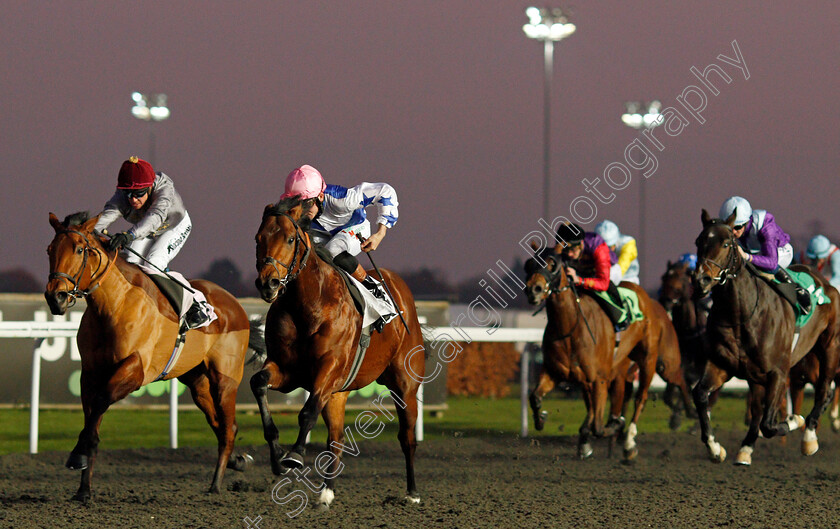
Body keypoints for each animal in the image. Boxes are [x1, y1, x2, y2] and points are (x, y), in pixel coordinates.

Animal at [41, 209, 260, 500]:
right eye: (50, 249)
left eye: (78, 249)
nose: (56, 297)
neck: (114, 305)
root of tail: (236, 305)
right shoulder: (90, 374)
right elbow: (92, 420)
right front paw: (83, 489)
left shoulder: (136, 370)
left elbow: (99, 405)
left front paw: (77, 457)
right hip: (197, 381)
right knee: (218, 421)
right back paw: (237, 460)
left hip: (225, 378)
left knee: (227, 426)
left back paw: (216, 484)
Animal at [248, 197, 420, 508]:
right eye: (258, 239)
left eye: (290, 239)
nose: (268, 284)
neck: (309, 304)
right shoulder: (287, 370)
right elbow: (258, 383)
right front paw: (277, 457)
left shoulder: (328, 369)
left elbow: (307, 411)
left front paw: (294, 455)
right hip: (340, 393)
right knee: (336, 439)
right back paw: (326, 492)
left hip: (405, 383)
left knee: (407, 436)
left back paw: (412, 492)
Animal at [520, 250, 672, 460]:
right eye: (529, 264)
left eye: (552, 264)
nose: (534, 289)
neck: (570, 327)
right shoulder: (556, 372)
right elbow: (535, 397)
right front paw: (541, 419)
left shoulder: (599, 378)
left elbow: (598, 427)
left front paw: (615, 425)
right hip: (614, 370)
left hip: (647, 359)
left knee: (640, 398)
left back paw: (629, 443)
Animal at [688, 208, 840, 464]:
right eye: (699, 241)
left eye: (726, 243)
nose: (701, 281)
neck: (741, 314)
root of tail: (826, 284)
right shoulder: (721, 364)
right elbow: (699, 394)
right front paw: (715, 448)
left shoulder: (778, 371)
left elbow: (770, 425)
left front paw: (794, 419)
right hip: (756, 375)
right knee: (758, 409)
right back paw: (746, 448)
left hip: (829, 346)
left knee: (822, 390)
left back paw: (808, 437)